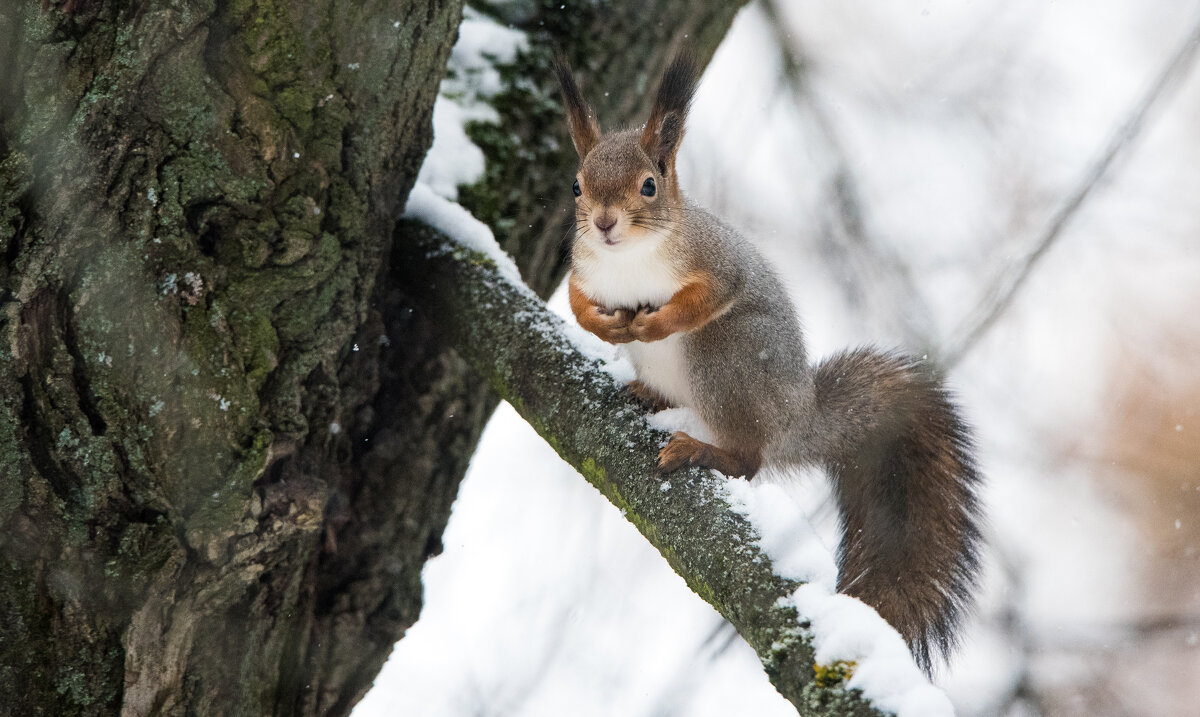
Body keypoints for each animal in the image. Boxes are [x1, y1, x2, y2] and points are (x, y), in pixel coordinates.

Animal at [552, 51, 984, 676]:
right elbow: (575, 301)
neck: (627, 259)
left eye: (650, 185)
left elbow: (708, 297)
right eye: (578, 185)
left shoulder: (716, 261)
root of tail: (795, 417)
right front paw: (603, 324)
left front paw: (653, 323)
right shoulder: (584, 267)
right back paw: (649, 394)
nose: (605, 224)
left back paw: (700, 448)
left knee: (749, 460)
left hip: (725, 356)